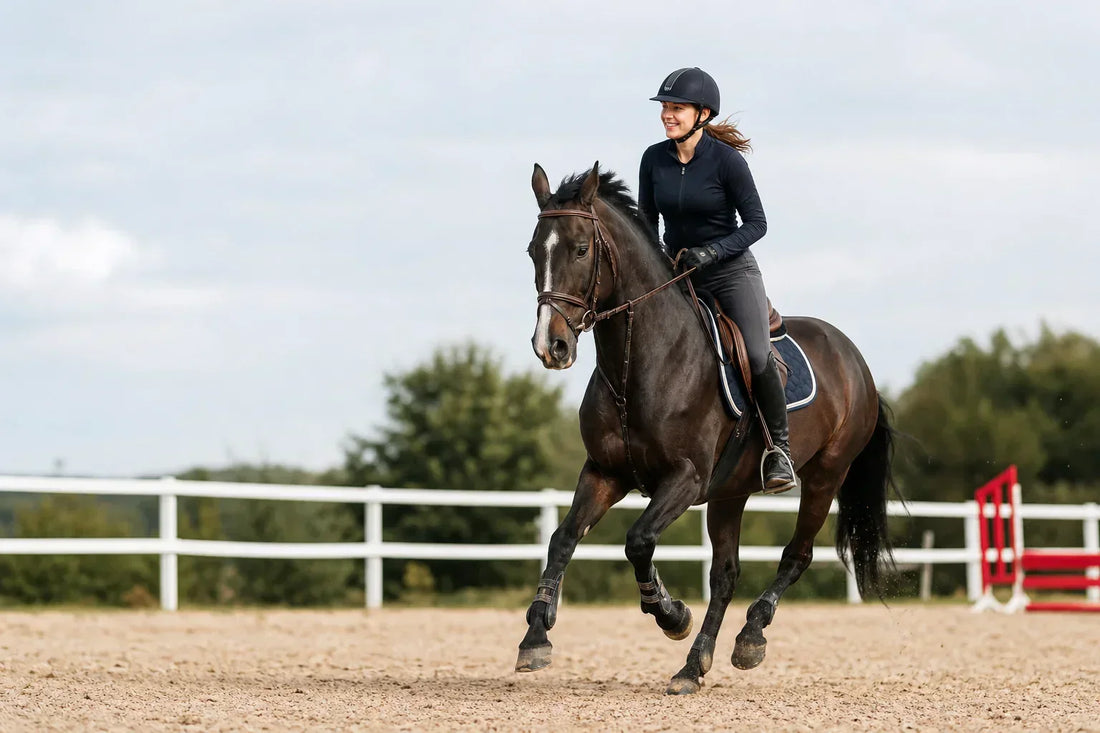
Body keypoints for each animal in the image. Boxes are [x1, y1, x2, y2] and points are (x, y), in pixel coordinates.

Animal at [516, 162, 897, 695]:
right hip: (730, 493)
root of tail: (855, 358)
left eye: (580, 249)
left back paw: (750, 637)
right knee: (725, 575)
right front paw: (536, 636)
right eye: (533, 251)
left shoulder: (686, 479)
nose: (550, 346)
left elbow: (638, 540)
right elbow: (563, 539)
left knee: (796, 555)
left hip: (825, 476)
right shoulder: (604, 473)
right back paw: (693, 666)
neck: (641, 363)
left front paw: (671, 614)